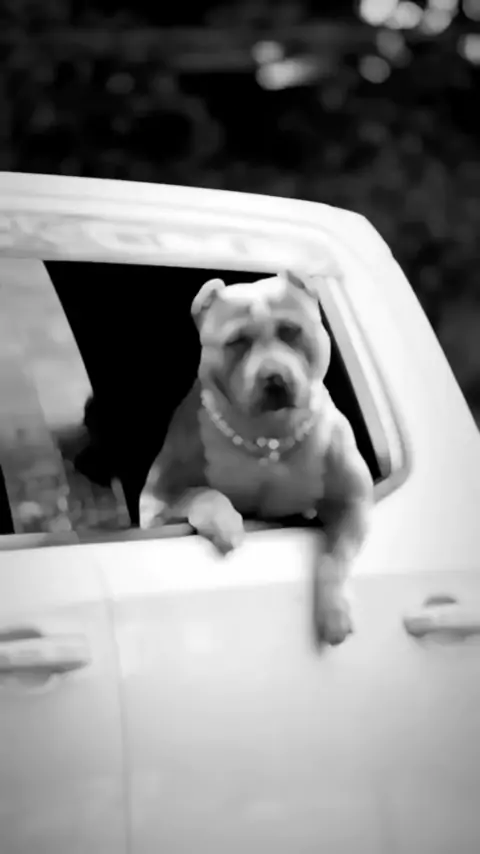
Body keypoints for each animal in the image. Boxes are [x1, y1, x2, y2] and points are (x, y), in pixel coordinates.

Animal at [140, 269, 373, 645]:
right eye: (237, 341)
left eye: (291, 331)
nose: (274, 377)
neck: (268, 438)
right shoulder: (155, 503)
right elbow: (200, 492)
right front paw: (225, 523)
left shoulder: (353, 502)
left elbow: (334, 557)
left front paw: (334, 613)